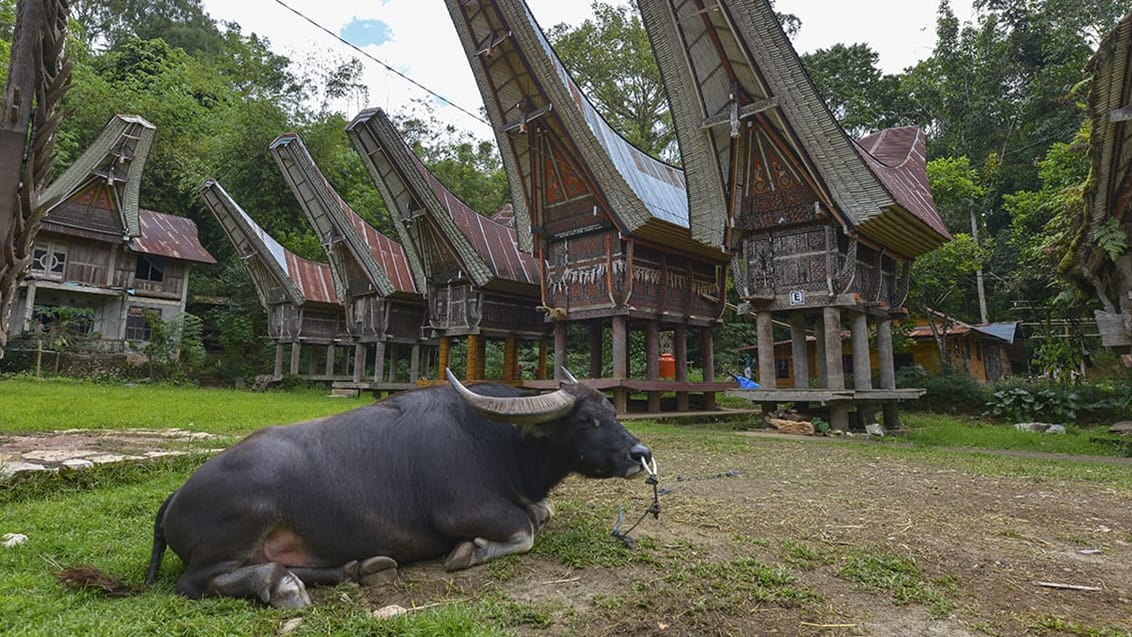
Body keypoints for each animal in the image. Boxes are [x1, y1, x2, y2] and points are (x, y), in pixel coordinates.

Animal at [143, 368, 656, 606]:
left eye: (612, 411)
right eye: (587, 421)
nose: (640, 454)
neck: (496, 439)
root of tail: (175, 497)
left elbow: (542, 512)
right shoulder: (465, 510)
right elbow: (525, 528)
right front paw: (467, 552)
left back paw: (360, 568)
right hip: (238, 528)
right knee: (195, 582)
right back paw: (282, 585)